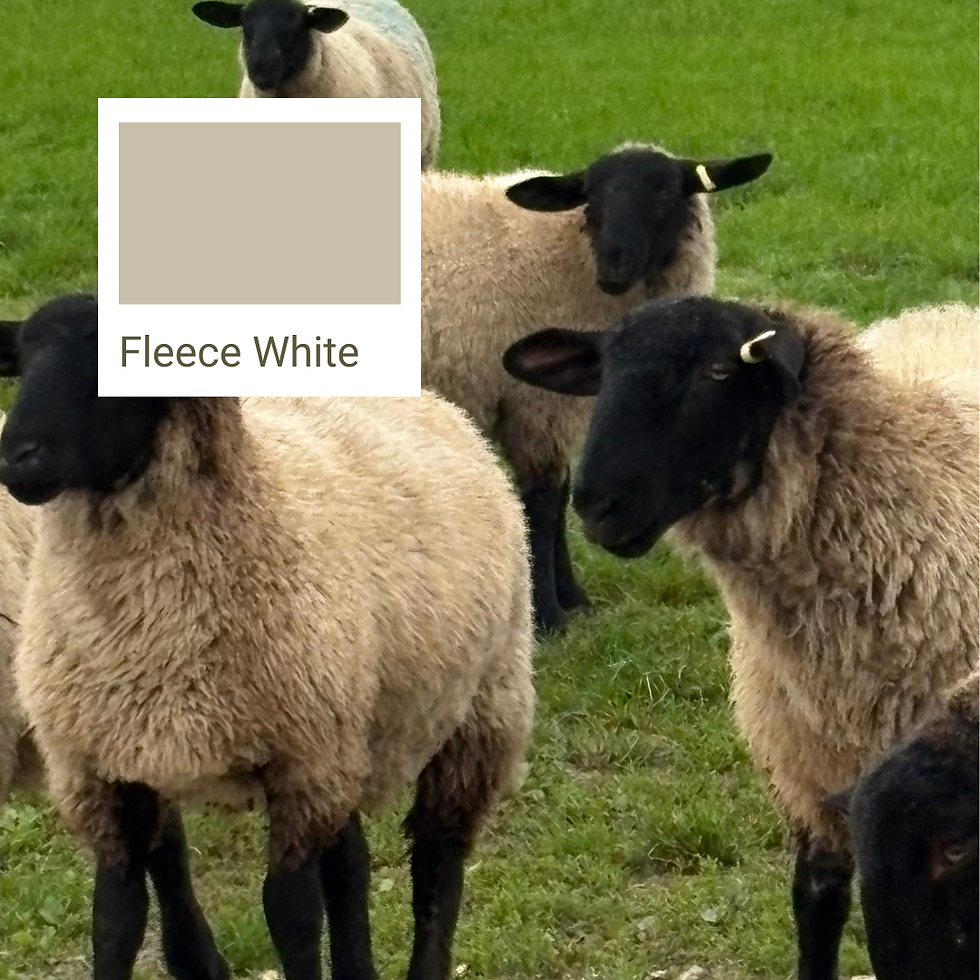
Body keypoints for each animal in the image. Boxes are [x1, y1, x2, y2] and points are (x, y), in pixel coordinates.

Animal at [0, 295, 534, 980]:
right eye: (23, 360)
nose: (16, 456)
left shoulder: (297, 761)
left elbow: (291, 914)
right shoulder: (105, 771)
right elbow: (115, 919)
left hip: (482, 706)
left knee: (438, 861)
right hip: (349, 723)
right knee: (351, 862)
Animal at [423, 143, 772, 631]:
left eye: (667, 192)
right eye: (592, 200)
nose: (613, 270)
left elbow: (559, 498)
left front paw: (574, 600)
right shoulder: (537, 406)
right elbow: (544, 500)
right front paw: (550, 616)